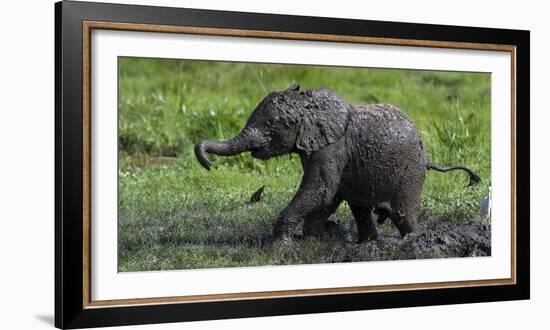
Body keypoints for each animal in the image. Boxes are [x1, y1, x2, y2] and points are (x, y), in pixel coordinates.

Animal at [196, 84, 480, 244]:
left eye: (277, 124)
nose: (208, 164)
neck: (309, 106)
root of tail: (427, 155)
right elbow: (327, 196)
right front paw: (313, 239)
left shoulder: (332, 148)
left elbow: (321, 191)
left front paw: (280, 245)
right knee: (360, 206)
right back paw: (367, 243)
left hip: (410, 171)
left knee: (402, 213)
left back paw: (410, 241)